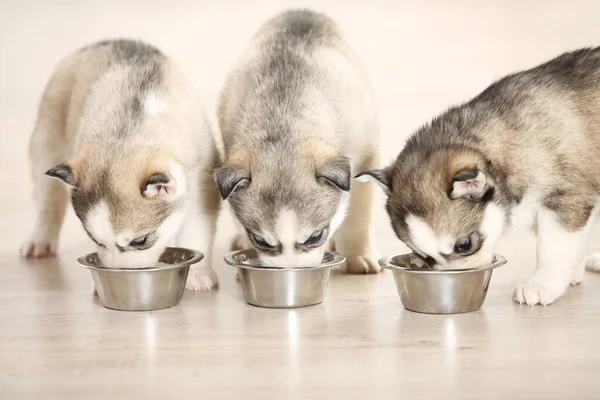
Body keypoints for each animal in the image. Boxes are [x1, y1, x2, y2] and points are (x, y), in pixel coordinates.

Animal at [21, 39, 224, 290]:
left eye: (140, 240)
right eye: (94, 239)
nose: (120, 275)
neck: (130, 132)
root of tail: (106, 41)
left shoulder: (202, 185)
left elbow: (196, 229)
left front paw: (197, 276)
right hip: (47, 137)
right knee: (47, 201)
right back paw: (39, 240)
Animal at [218, 10, 382, 272]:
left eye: (315, 237)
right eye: (261, 241)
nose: (290, 272)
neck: (284, 118)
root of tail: (301, 11)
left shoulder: (366, 153)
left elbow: (358, 214)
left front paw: (358, 254)